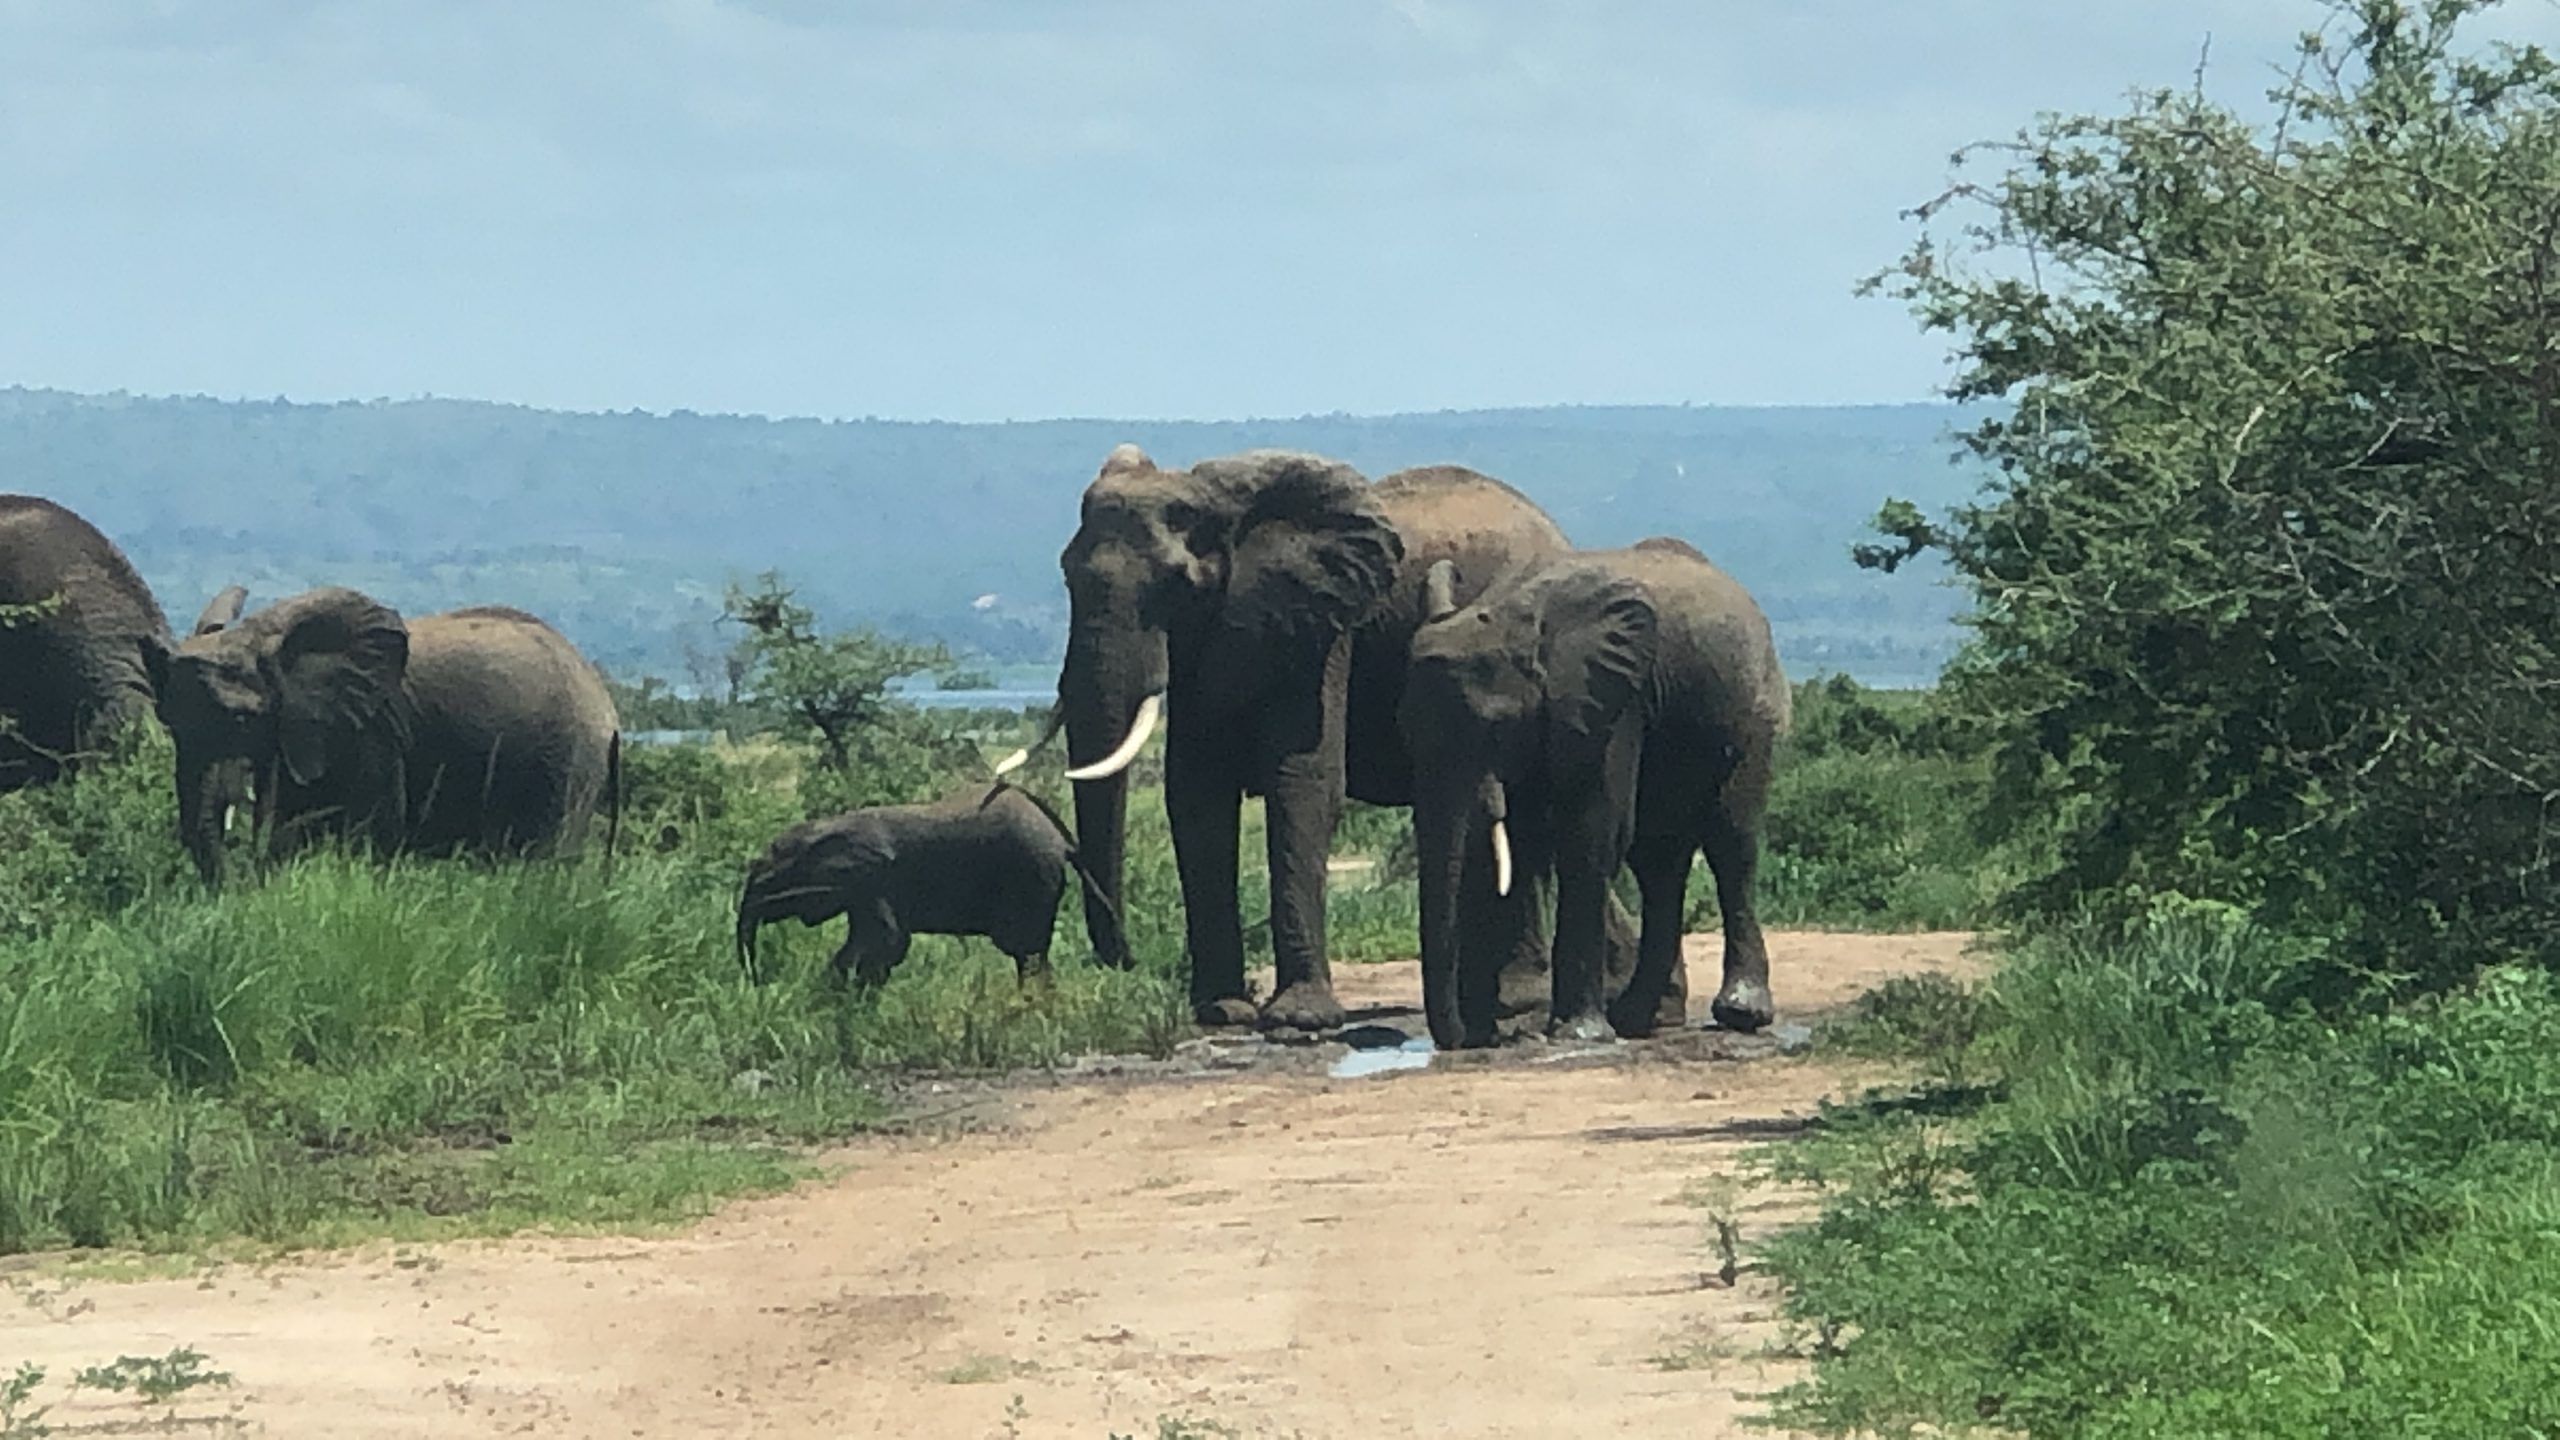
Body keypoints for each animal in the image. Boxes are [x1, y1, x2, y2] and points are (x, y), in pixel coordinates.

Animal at [727, 778, 1116, 978]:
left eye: (769, 879)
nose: (756, 981)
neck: (827, 828)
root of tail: (1063, 841)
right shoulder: (859, 889)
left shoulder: (873, 881)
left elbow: (888, 941)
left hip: (1030, 878)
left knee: (1026, 951)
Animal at [1008, 440, 1648, 1030]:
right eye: (1066, 575)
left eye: (1176, 586)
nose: (1126, 960)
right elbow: (1195, 796)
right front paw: (1223, 1013)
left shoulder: (1323, 628)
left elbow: (1304, 782)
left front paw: (1299, 1021)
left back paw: (1526, 999)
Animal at [1392, 535, 1792, 1040]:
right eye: (1405, 732)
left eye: (1494, 729)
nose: (1462, 1041)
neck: (1509, 614)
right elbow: (1527, 842)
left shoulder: (1613, 700)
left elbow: (1590, 835)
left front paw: (1576, 1034)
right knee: (1658, 863)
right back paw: (1636, 1021)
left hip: (1752, 714)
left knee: (1730, 844)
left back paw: (1739, 1014)